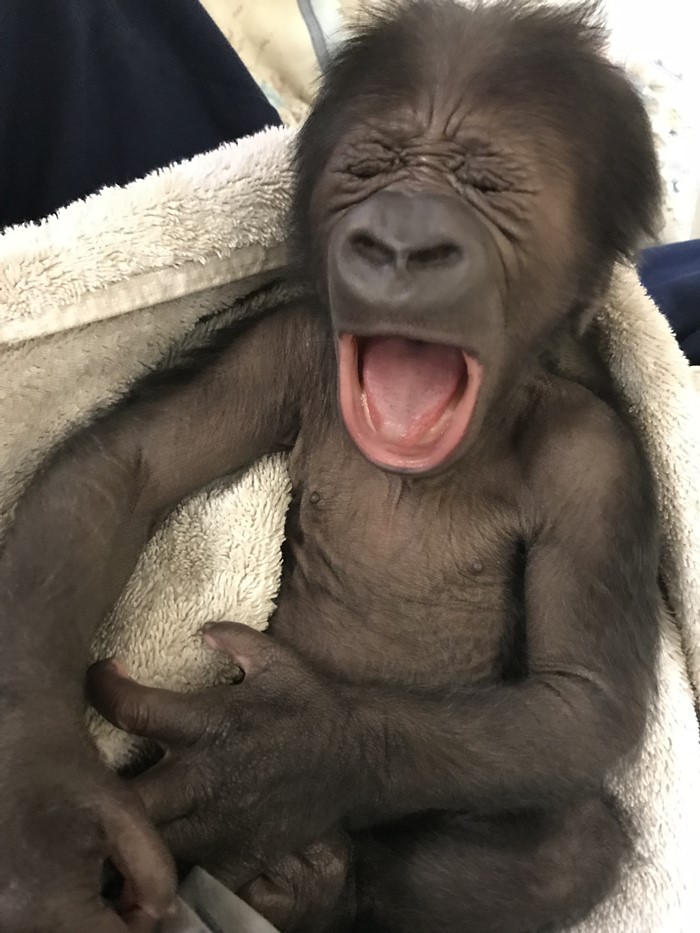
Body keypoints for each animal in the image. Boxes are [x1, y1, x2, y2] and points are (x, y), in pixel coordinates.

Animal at [0, 1, 660, 932]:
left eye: (488, 185)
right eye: (370, 169)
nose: (404, 238)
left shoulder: (598, 468)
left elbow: (581, 699)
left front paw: (276, 755)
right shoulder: (286, 346)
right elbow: (123, 464)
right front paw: (50, 811)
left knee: (570, 844)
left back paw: (314, 882)